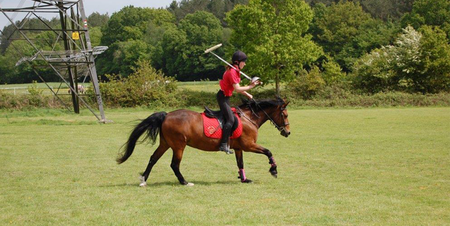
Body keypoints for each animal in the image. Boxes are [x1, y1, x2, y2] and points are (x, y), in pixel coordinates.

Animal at [118, 97, 290, 187]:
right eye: (285, 115)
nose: (288, 133)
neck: (249, 118)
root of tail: (166, 115)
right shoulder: (249, 146)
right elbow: (268, 151)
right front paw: (274, 170)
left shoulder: (239, 148)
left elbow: (240, 163)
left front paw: (244, 179)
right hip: (178, 146)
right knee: (174, 164)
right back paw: (184, 182)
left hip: (166, 143)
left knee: (153, 158)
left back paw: (143, 180)